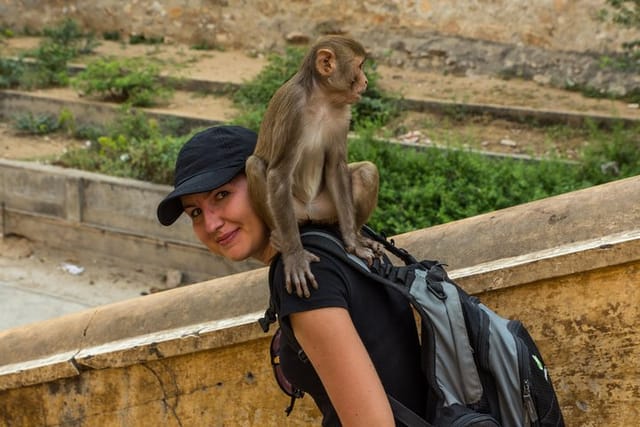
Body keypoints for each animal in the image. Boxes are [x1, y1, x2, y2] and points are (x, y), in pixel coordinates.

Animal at [248, 35, 382, 300]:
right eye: (360, 66)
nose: (365, 81)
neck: (321, 99)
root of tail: (311, 213)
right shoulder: (294, 109)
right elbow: (278, 174)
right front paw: (295, 257)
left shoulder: (343, 112)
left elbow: (337, 167)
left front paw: (353, 242)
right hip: (293, 213)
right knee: (255, 165)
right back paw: (280, 239)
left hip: (327, 210)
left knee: (366, 171)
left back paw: (357, 235)